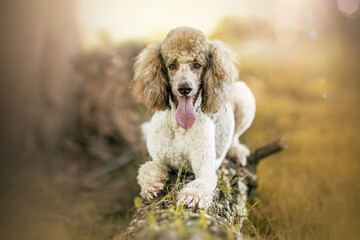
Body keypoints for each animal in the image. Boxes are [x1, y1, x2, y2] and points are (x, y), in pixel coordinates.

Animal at [132, 26, 256, 208]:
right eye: (172, 65)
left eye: (197, 65)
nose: (185, 88)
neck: (179, 127)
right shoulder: (160, 160)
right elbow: (147, 168)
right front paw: (151, 185)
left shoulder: (204, 169)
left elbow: (203, 182)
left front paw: (192, 196)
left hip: (244, 96)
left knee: (235, 137)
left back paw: (236, 151)